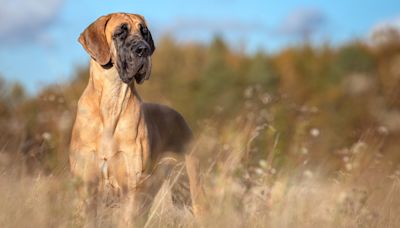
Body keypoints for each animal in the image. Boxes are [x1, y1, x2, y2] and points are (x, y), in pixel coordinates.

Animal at [69, 12, 206, 226]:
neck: (112, 100)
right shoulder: (85, 184)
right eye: (120, 32)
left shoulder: (132, 184)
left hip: (190, 183)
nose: (144, 49)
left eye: (145, 32)